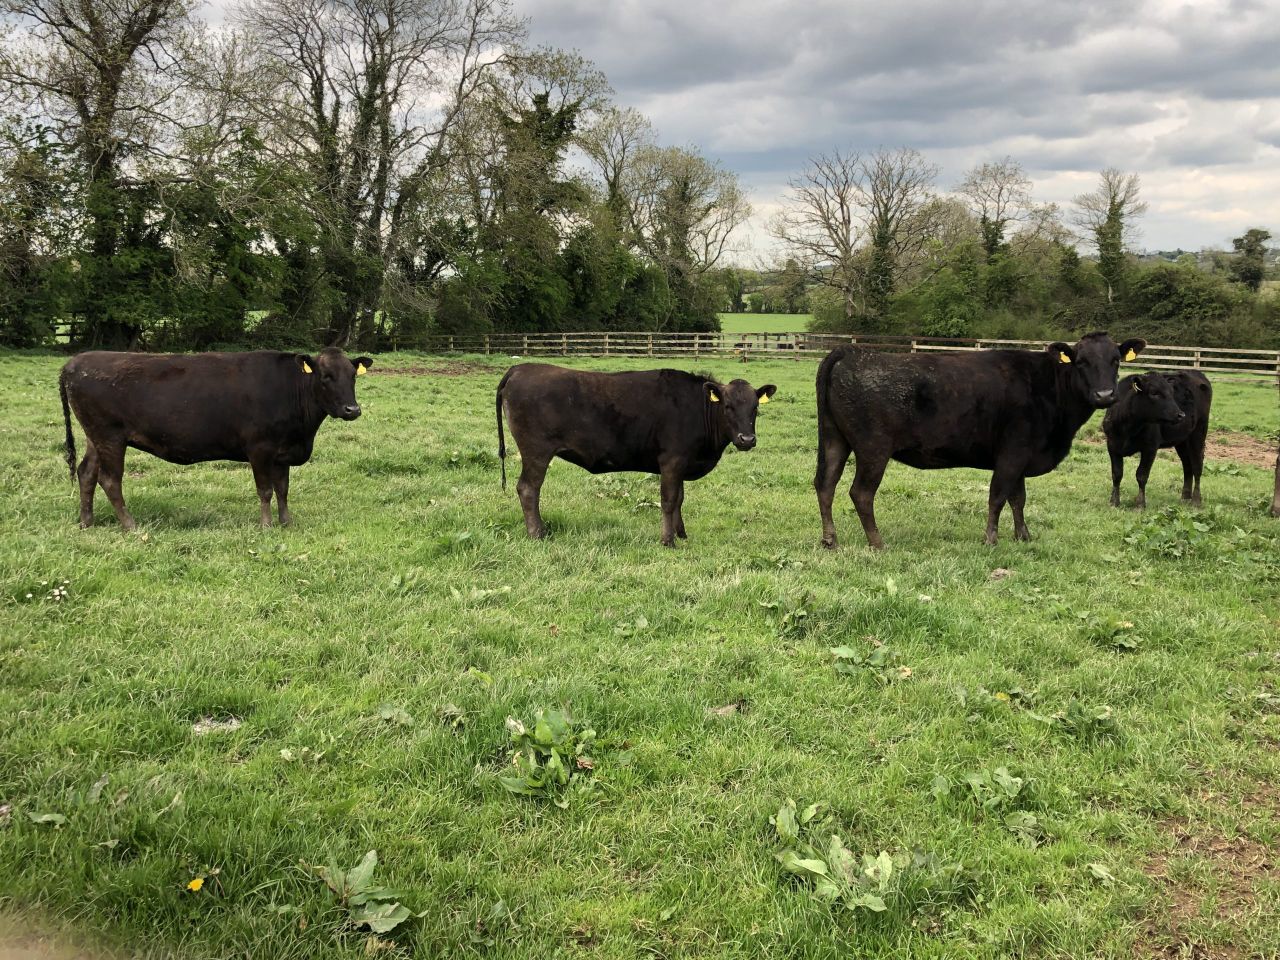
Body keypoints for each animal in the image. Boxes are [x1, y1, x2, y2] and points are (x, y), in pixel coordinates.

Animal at [59, 348, 372, 530]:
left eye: (353, 376)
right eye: (326, 376)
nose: (352, 409)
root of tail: (76, 361)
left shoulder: (283, 451)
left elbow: (283, 489)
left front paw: (286, 522)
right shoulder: (260, 449)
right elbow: (266, 490)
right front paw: (267, 526)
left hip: (95, 437)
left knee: (86, 473)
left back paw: (86, 522)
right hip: (110, 436)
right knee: (110, 480)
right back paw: (130, 525)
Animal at [495, 364, 777, 545]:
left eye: (755, 408)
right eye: (728, 406)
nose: (747, 439)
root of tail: (521, 367)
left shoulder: (681, 464)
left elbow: (680, 500)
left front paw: (681, 534)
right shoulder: (672, 460)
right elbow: (668, 501)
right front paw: (667, 540)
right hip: (536, 451)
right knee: (528, 489)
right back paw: (538, 533)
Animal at [814, 332, 1146, 548]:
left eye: (1116, 361)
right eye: (1081, 362)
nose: (1105, 395)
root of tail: (852, 353)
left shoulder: (1022, 456)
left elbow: (1018, 498)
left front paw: (1023, 537)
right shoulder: (1012, 453)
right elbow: (998, 496)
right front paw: (991, 539)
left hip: (835, 439)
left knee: (825, 484)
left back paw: (830, 539)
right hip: (873, 449)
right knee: (861, 493)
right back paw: (877, 542)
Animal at [1103, 370, 1212, 509]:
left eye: (1171, 392)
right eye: (1154, 393)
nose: (1181, 415)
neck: (1127, 427)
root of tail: (1196, 372)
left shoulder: (1150, 447)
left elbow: (1141, 475)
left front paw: (1140, 504)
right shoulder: (1112, 445)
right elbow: (1116, 474)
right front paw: (1114, 501)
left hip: (1198, 433)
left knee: (1197, 466)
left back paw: (1196, 500)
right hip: (1182, 441)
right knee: (1187, 466)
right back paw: (1185, 497)